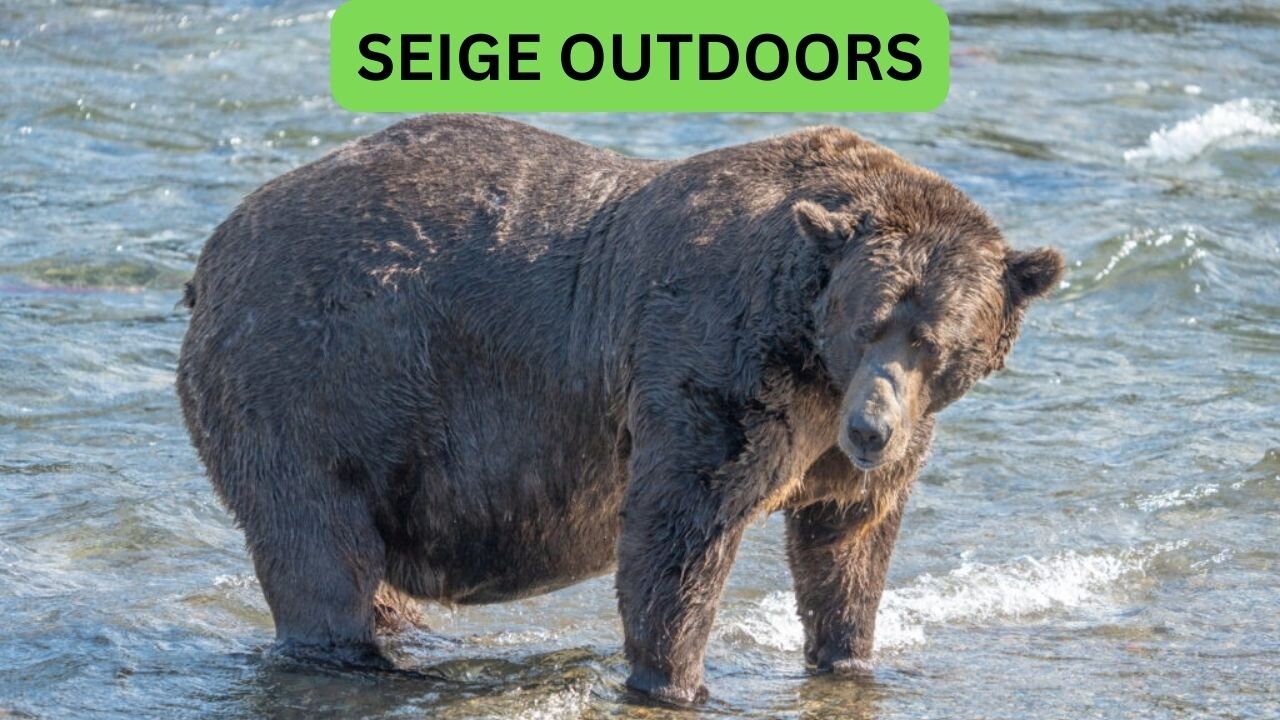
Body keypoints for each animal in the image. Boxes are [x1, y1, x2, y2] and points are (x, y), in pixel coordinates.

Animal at [177, 114, 1063, 705]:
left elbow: (848, 542)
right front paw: (676, 681)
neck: (811, 353)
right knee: (319, 546)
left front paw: (849, 656)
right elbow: (680, 532)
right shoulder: (713, 364)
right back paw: (360, 657)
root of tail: (211, 254)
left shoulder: (844, 442)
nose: (871, 429)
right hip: (317, 377)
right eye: (869, 321)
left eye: (933, 340)